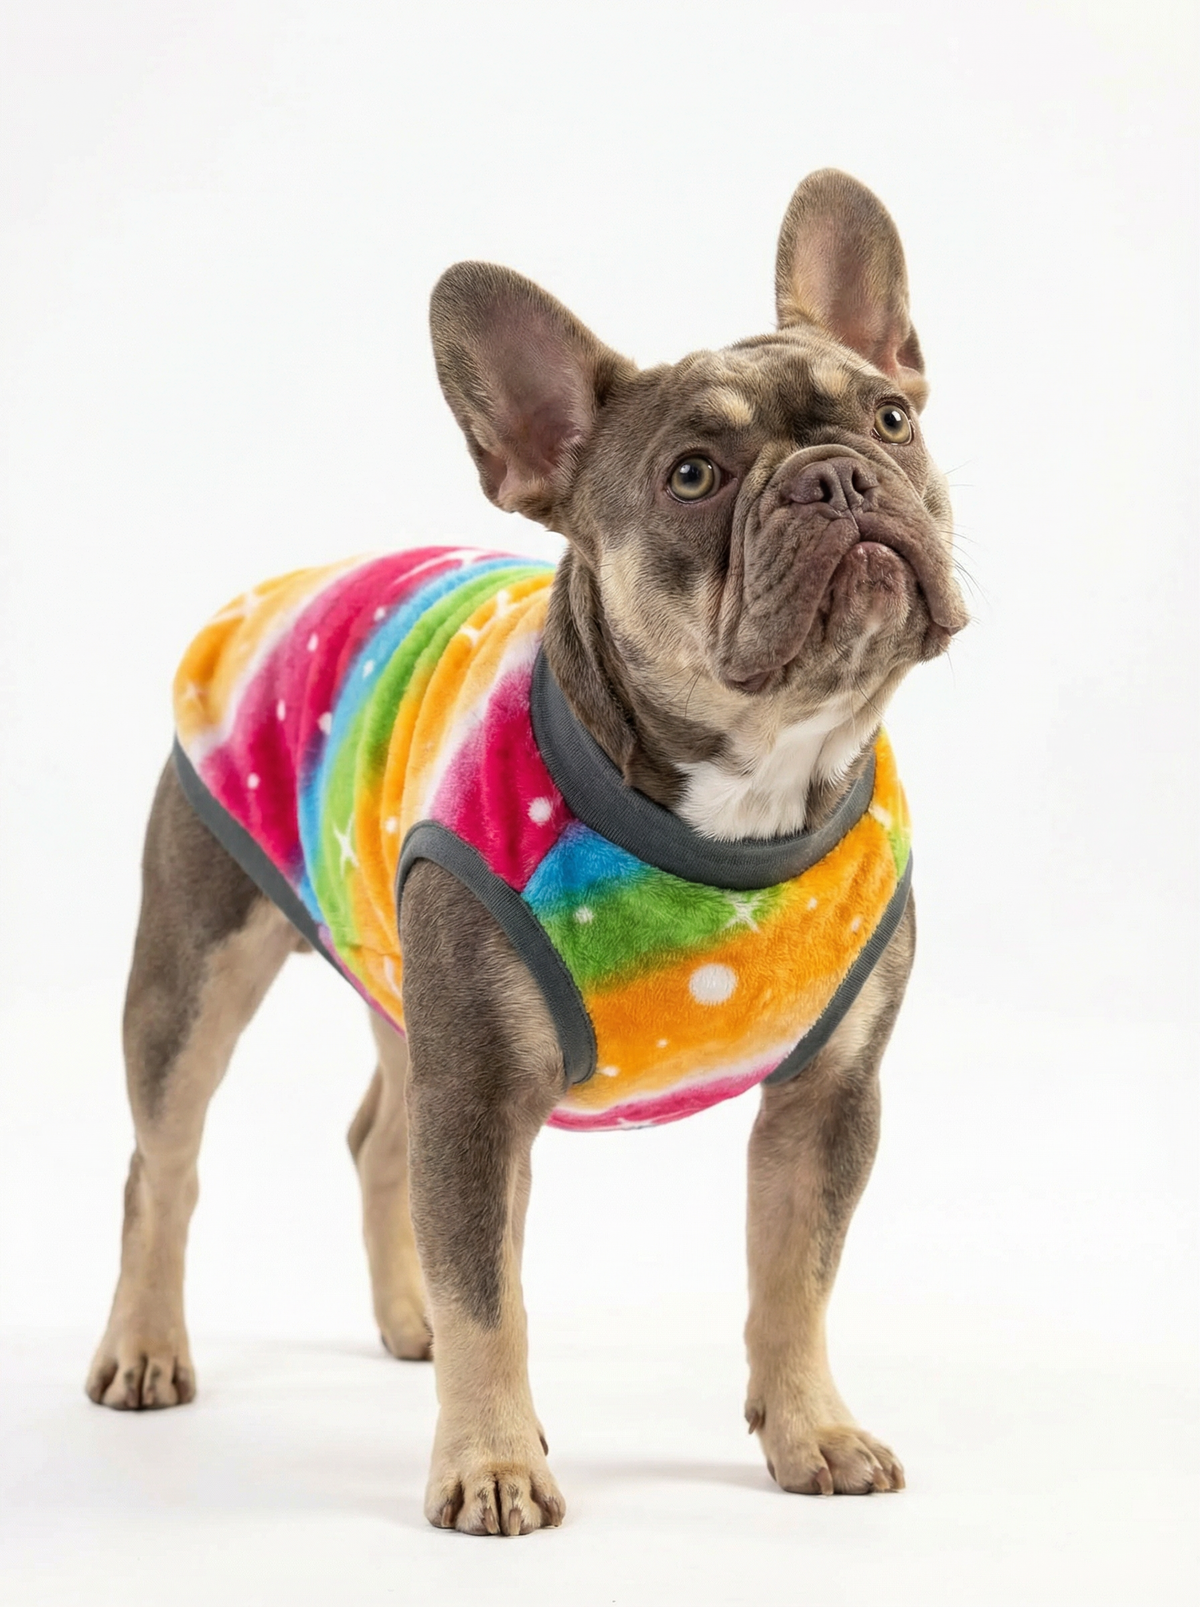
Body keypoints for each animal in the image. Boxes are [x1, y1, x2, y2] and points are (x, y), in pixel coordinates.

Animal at [86, 169, 968, 1536]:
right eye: (694, 475)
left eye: (890, 418)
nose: (834, 480)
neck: (747, 788)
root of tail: (276, 584)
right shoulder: (483, 1095)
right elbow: (490, 1293)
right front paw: (492, 1463)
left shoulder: (829, 1099)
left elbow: (796, 1275)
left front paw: (810, 1429)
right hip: (196, 968)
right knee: (162, 1164)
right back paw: (145, 1346)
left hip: (409, 989)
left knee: (379, 1143)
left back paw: (410, 1328)